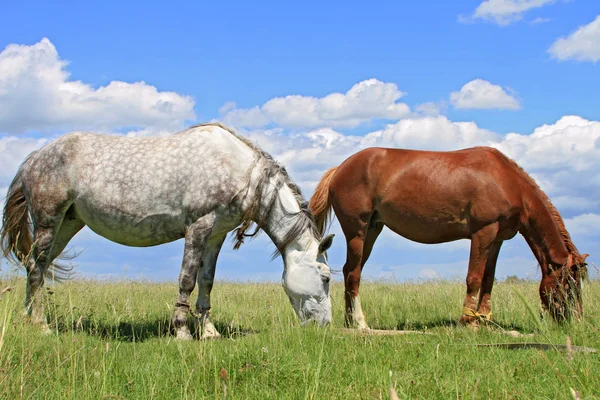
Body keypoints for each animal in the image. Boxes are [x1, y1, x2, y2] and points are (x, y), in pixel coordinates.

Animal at [2, 123, 336, 340]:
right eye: (325, 278)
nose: (325, 325)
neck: (239, 169)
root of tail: (34, 157)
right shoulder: (198, 228)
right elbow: (187, 279)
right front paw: (182, 331)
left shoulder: (215, 235)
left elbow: (206, 281)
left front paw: (210, 332)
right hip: (49, 220)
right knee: (36, 268)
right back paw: (42, 325)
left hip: (68, 223)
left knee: (37, 265)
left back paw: (28, 319)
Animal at [312, 147, 588, 328]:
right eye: (569, 284)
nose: (577, 321)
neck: (508, 181)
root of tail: (340, 169)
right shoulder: (483, 232)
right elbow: (474, 278)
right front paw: (468, 320)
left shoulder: (497, 239)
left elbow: (488, 280)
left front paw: (484, 320)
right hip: (357, 231)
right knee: (354, 273)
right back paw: (360, 323)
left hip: (372, 229)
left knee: (350, 270)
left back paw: (349, 321)